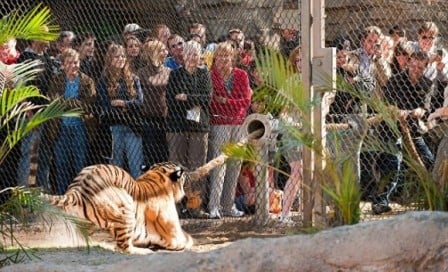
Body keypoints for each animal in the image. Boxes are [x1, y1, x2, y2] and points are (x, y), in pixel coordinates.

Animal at [42, 160, 194, 254]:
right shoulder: (174, 234)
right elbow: (186, 240)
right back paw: (144, 251)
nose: (187, 169)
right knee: (124, 247)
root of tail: (77, 190)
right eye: (182, 171)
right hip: (126, 208)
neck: (157, 174)